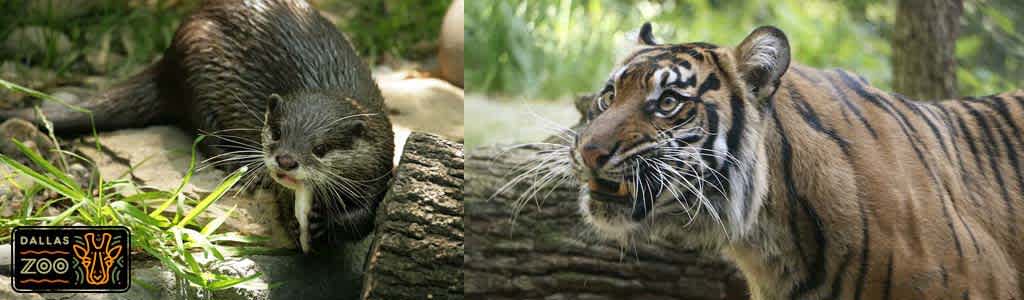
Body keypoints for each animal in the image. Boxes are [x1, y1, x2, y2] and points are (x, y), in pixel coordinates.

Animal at [0, 0, 391, 251]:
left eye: (320, 149)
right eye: (278, 134)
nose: (285, 161)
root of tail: (166, 60)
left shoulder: (382, 163)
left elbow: (367, 216)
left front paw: (330, 223)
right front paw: (298, 224)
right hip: (198, 68)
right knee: (204, 133)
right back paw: (240, 166)